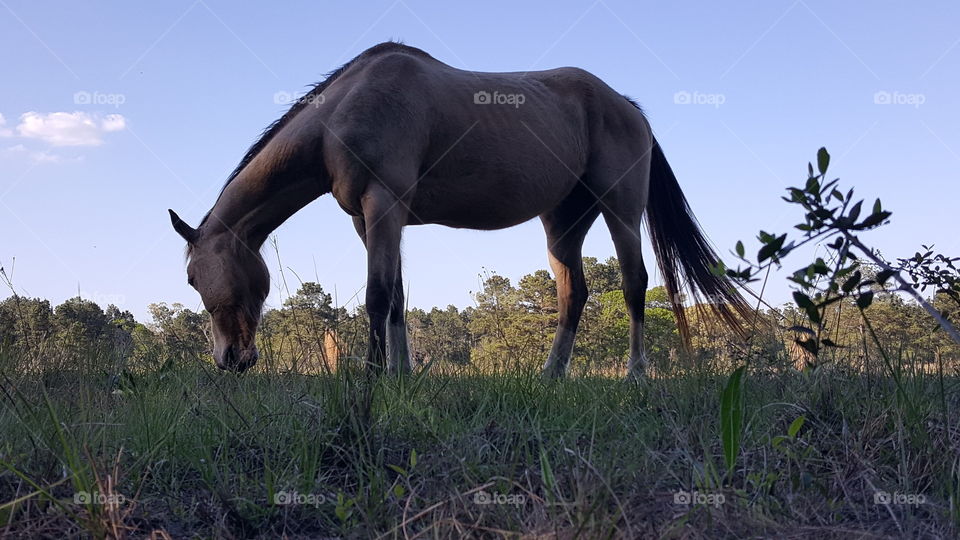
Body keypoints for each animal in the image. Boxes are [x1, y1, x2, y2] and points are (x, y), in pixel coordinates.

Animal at [169, 42, 750, 379]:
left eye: (195, 279)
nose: (230, 360)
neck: (342, 112)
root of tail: (626, 105)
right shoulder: (371, 219)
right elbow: (397, 297)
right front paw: (400, 377)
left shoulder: (384, 205)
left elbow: (377, 296)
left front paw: (374, 377)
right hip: (564, 222)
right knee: (574, 295)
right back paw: (550, 376)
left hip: (620, 210)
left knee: (633, 285)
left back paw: (635, 375)